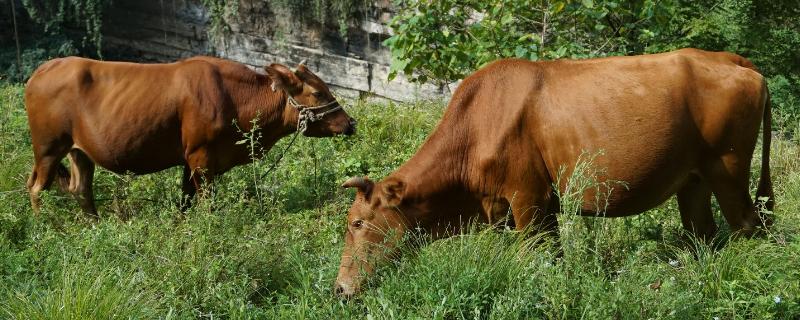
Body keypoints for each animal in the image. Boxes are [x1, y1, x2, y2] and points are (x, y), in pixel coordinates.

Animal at [25, 56, 356, 218]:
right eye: (318, 92)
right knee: (37, 188)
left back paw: (94, 225)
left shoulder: (190, 160)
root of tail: (43, 69)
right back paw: (48, 227)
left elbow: (185, 200)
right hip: (48, 148)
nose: (350, 124)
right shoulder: (201, 156)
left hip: (79, 151)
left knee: (81, 189)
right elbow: (205, 202)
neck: (234, 97)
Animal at [332, 48, 768, 298]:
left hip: (729, 169)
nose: (339, 289)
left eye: (357, 223)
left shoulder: (528, 199)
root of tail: (731, 59)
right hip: (693, 180)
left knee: (748, 226)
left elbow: (536, 258)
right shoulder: (512, 210)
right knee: (702, 235)